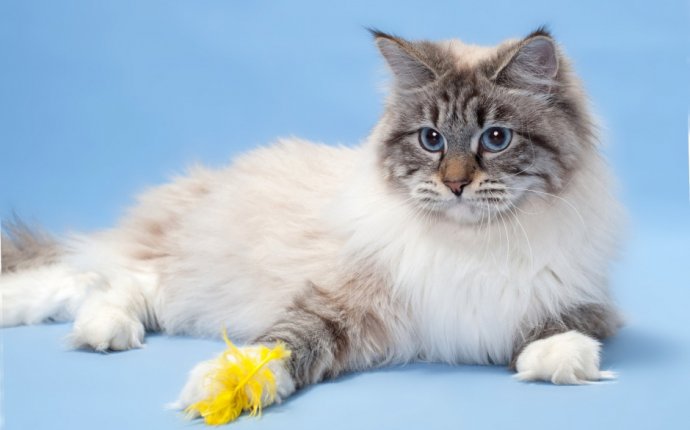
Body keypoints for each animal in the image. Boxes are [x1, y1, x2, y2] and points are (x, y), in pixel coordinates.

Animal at [0, 28, 620, 422]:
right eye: (431, 139)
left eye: (495, 138)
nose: (456, 184)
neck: (471, 247)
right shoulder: (342, 302)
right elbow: (282, 343)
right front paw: (224, 387)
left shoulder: (582, 299)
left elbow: (561, 328)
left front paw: (556, 360)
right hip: (184, 273)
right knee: (109, 279)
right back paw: (102, 333)